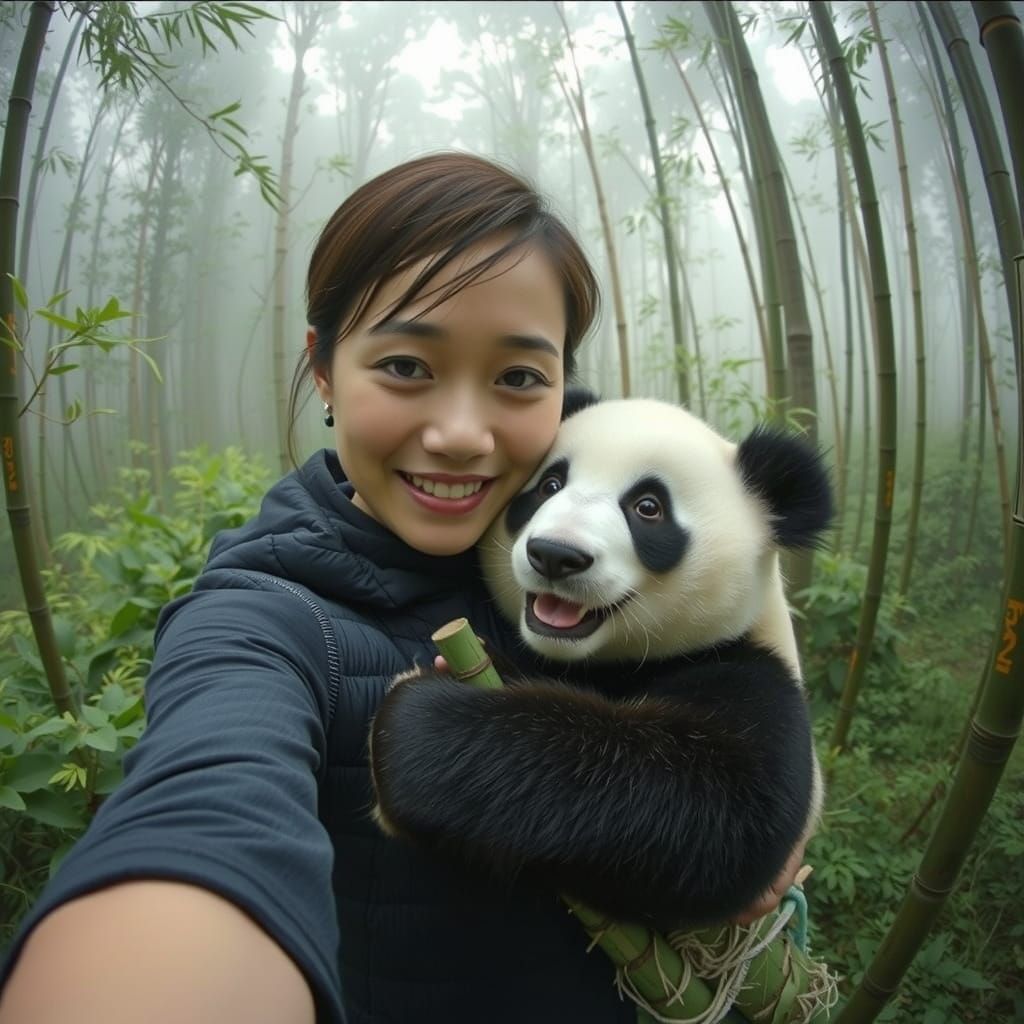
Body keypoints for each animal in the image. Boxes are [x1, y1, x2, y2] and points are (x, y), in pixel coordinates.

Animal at [370, 393, 832, 930]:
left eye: (648, 507)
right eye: (549, 484)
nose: (555, 554)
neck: (609, 660)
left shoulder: (750, 668)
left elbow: (712, 809)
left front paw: (416, 727)